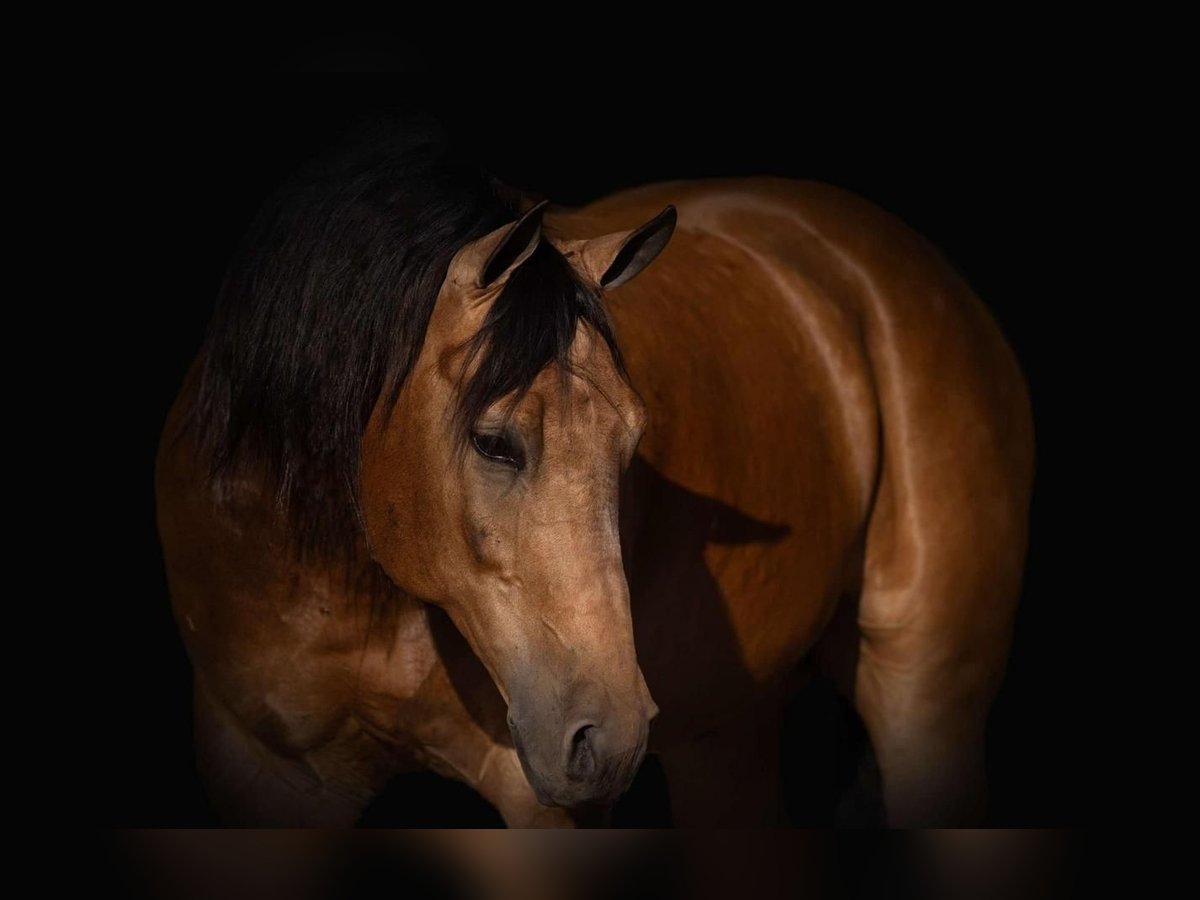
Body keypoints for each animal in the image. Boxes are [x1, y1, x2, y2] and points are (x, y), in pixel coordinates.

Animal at [154, 116, 1032, 830]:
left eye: (632, 442)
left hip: (925, 701)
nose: (608, 738)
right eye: (493, 441)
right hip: (728, 735)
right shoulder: (265, 780)